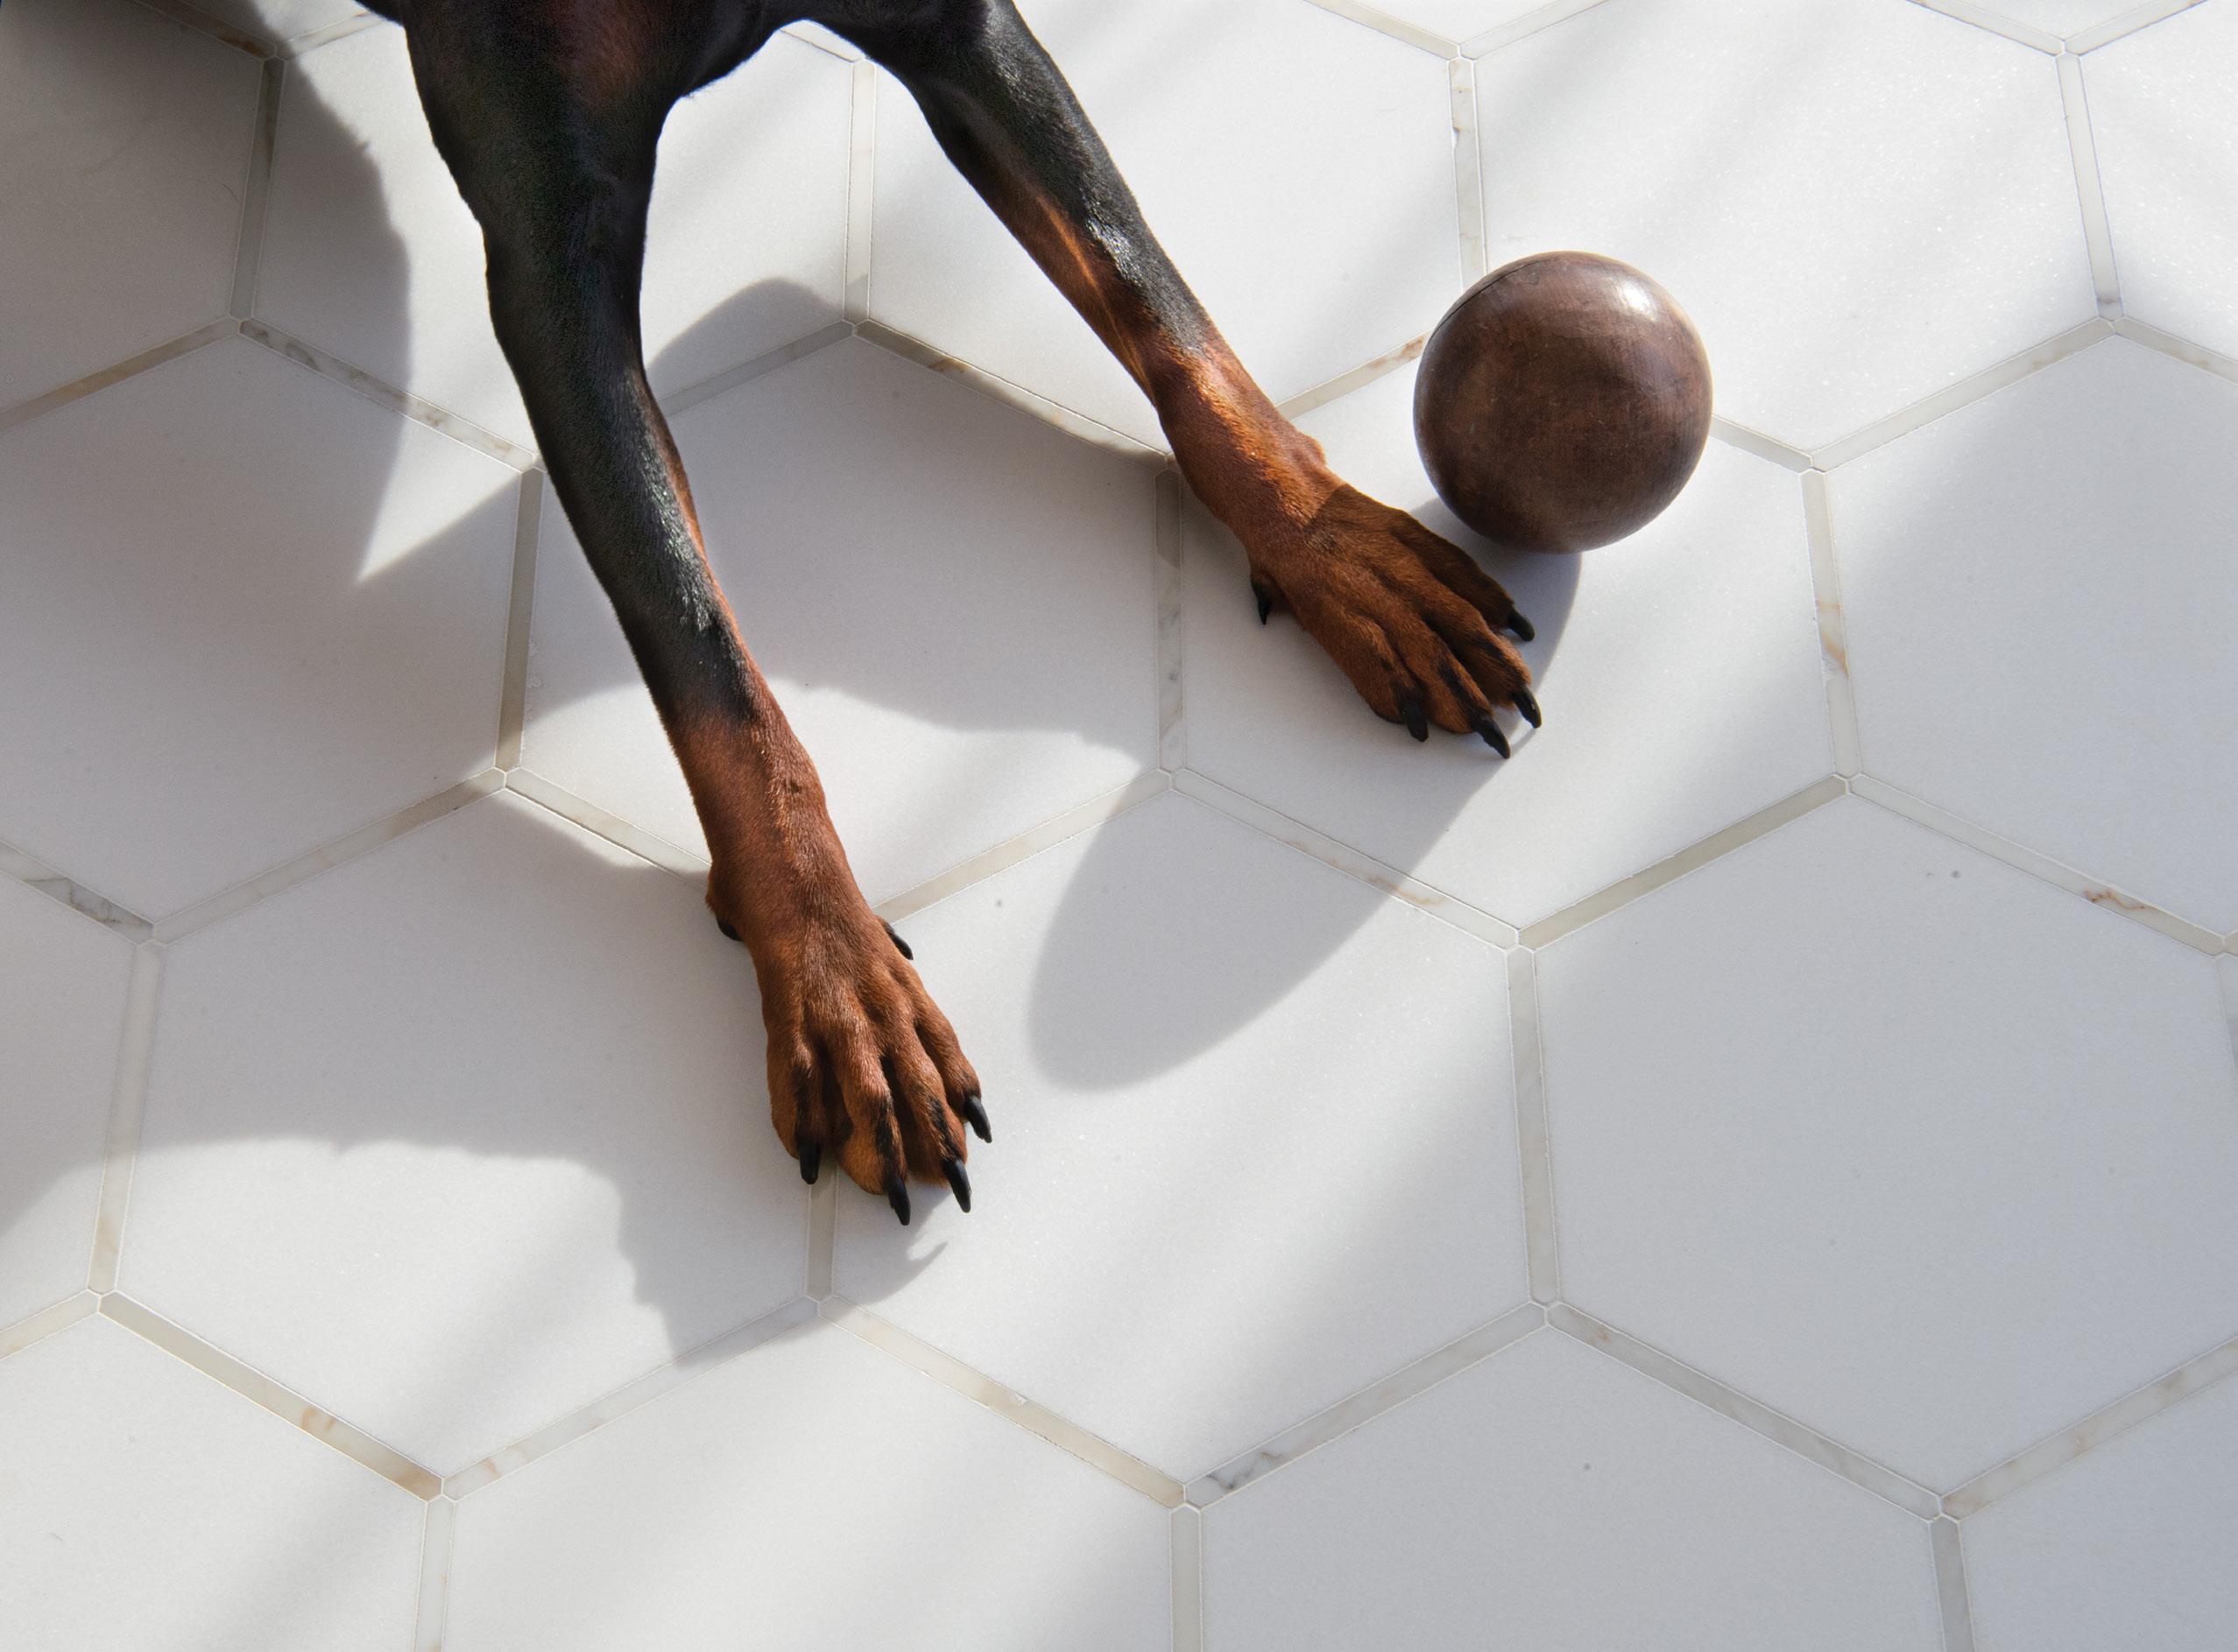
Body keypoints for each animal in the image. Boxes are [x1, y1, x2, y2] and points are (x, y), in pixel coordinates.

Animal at [364, 0, 1541, 1224]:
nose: (1326, 538)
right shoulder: (551, 240)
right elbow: (702, 648)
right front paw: (834, 971)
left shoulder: (961, 34)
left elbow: (1152, 299)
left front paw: (1329, 544)